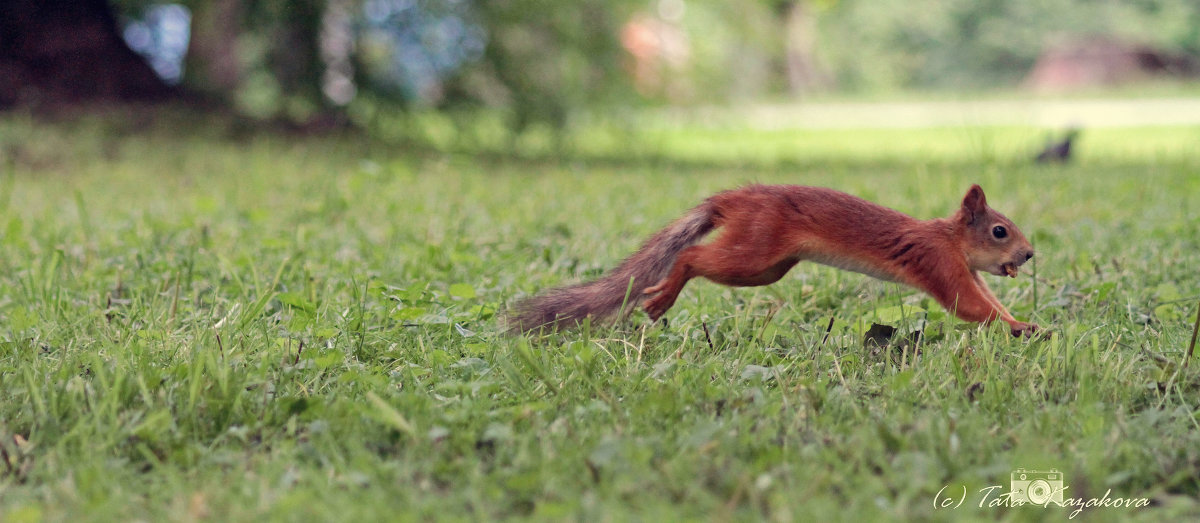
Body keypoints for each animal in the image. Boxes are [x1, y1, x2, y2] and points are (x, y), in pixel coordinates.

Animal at [511, 185, 1036, 338]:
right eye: (1000, 231)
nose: (1030, 254)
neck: (950, 238)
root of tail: (733, 200)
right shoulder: (940, 262)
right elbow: (969, 306)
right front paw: (1026, 330)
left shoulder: (967, 271)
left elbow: (987, 302)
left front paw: (1022, 323)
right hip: (753, 253)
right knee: (693, 256)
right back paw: (661, 297)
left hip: (767, 268)